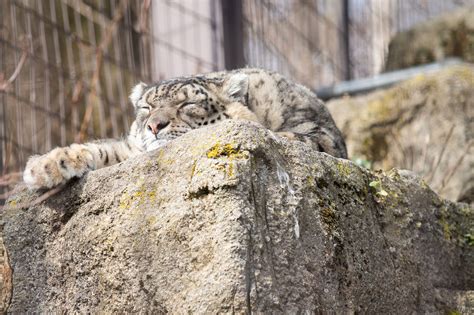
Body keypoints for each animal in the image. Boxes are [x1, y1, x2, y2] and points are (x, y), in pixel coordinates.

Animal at [23, 69, 348, 190]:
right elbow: (106, 148)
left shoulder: (319, 135)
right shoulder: (130, 149)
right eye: (146, 107)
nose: (155, 125)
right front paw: (44, 166)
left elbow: (288, 137)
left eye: (188, 103)